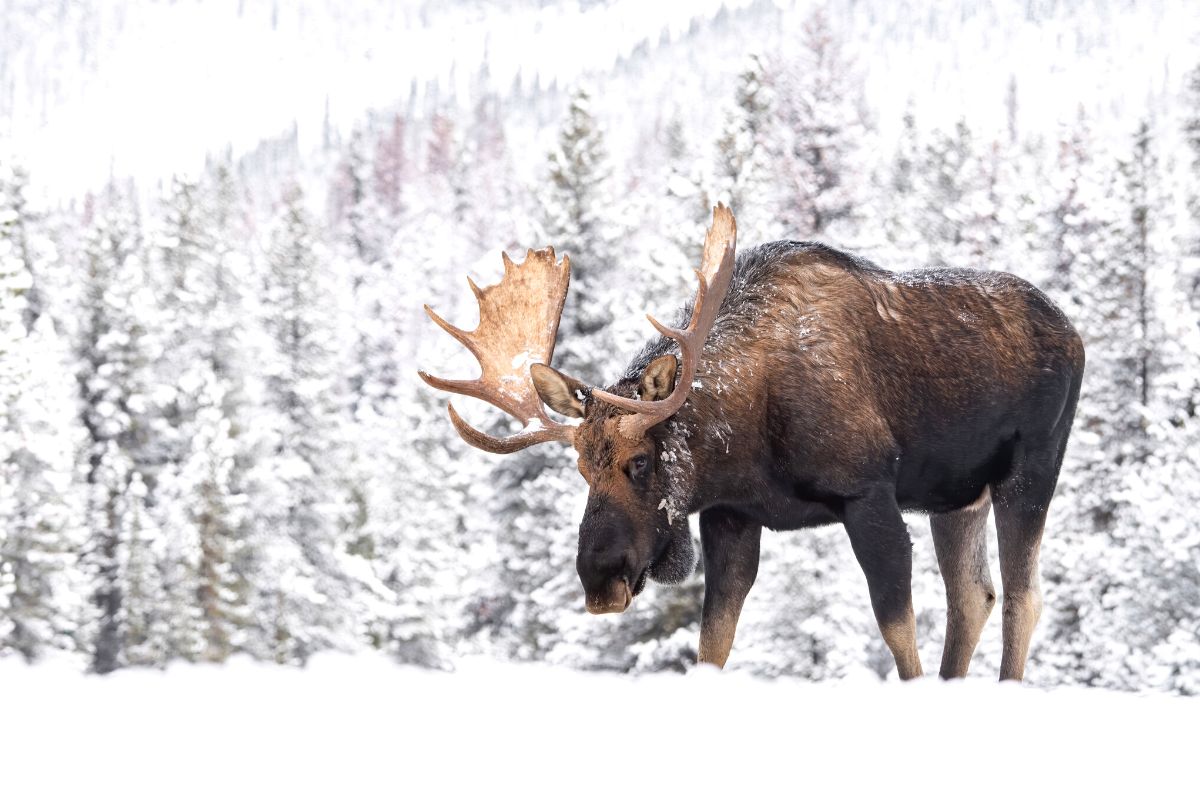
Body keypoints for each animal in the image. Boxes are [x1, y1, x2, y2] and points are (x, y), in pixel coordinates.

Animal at [419, 205, 1084, 680]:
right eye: (582, 467)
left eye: (640, 461)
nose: (600, 579)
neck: (744, 442)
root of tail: (1076, 335)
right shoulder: (731, 516)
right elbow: (712, 645)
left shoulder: (868, 494)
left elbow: (898, 632)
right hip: (957, 498)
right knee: (973, 597)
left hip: (1032, 469)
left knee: (1022, 597)